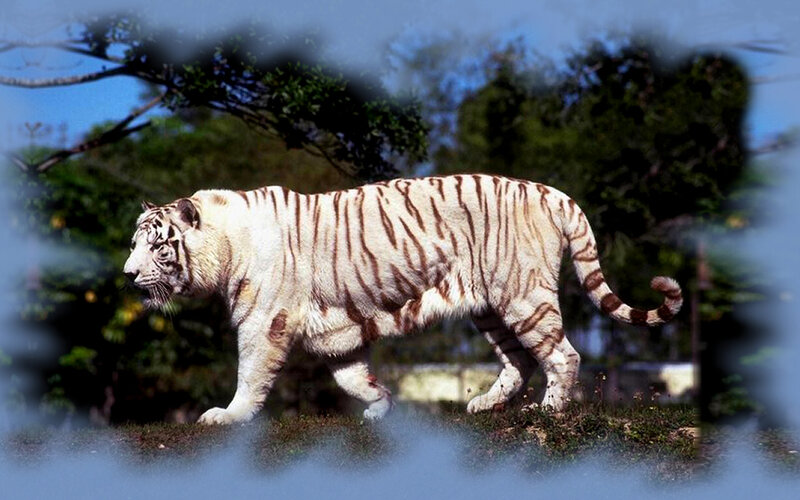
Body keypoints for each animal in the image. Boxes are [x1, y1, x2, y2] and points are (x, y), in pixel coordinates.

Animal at [123, 174, 682, 425]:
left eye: (157, 244)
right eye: (134, 242)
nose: (128, 275)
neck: (224, 246)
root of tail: (555, 193)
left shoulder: (263, 322)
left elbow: (251, 374)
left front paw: (228, 415)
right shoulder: (337, 331)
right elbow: (352, 377)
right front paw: (380, 406)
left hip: (522, 294)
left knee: (563, 354)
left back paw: (549, 414)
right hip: (489, 306)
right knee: (519, 361)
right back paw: (483, 404)